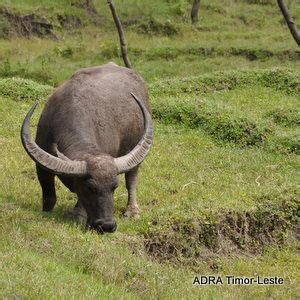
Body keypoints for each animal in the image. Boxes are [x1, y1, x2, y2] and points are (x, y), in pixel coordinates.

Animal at [20, 62, 155, 233]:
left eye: (114, 187)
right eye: (90, 188)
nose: (107, 225)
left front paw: (78, 215)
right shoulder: (41, 166)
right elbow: (49, 196)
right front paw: (46, 212)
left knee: (131, 178)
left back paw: (132, 211)